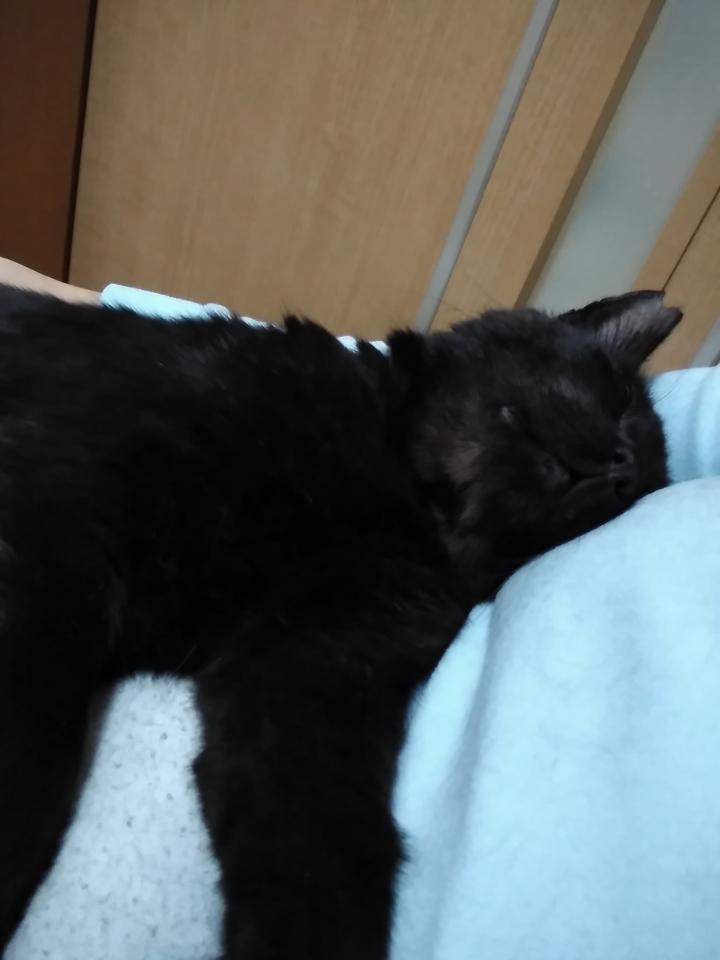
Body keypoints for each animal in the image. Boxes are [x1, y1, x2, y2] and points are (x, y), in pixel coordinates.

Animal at [0, 286, 680, 959]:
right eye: (618, 401)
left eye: (634, 486)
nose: (619, 465)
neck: (400, 495)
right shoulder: (52, 536)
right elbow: (33, 767)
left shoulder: (314, 671)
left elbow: (318, 840)